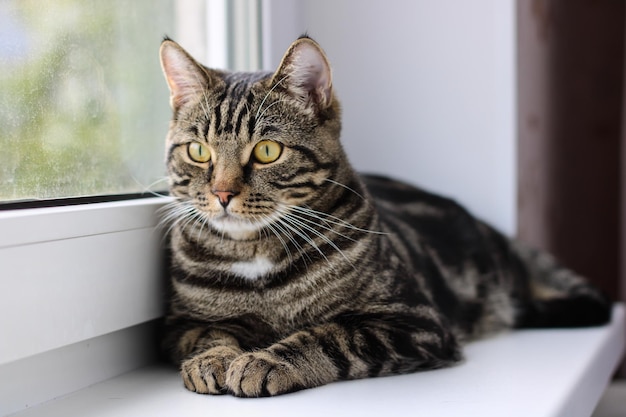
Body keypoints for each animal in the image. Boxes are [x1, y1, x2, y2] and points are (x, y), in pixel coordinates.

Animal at [157, 35, 608, 396]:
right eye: (198, 151)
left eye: (268, 151)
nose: (222, 193)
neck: (255, 256)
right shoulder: (181, 323)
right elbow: (208, 332)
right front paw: (214, 359)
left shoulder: (413, 321)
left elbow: (328, 336)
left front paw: (267, 360)